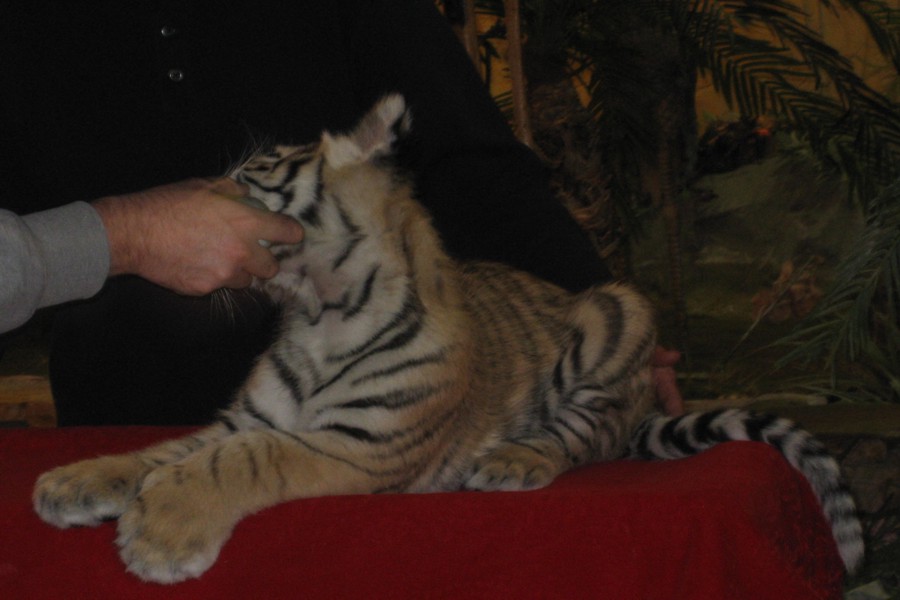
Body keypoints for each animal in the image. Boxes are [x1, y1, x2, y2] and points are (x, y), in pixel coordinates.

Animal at [33, 94, 863, 583]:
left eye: (251, 173)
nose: (192, 195)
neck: (317, 310)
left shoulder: (359, 446)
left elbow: (242, 460)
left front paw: (161, 532)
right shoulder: (245, 417)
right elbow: (163, 449)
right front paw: (74, 482)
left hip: (616, 315)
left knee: (586, 437)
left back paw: (514, 459)